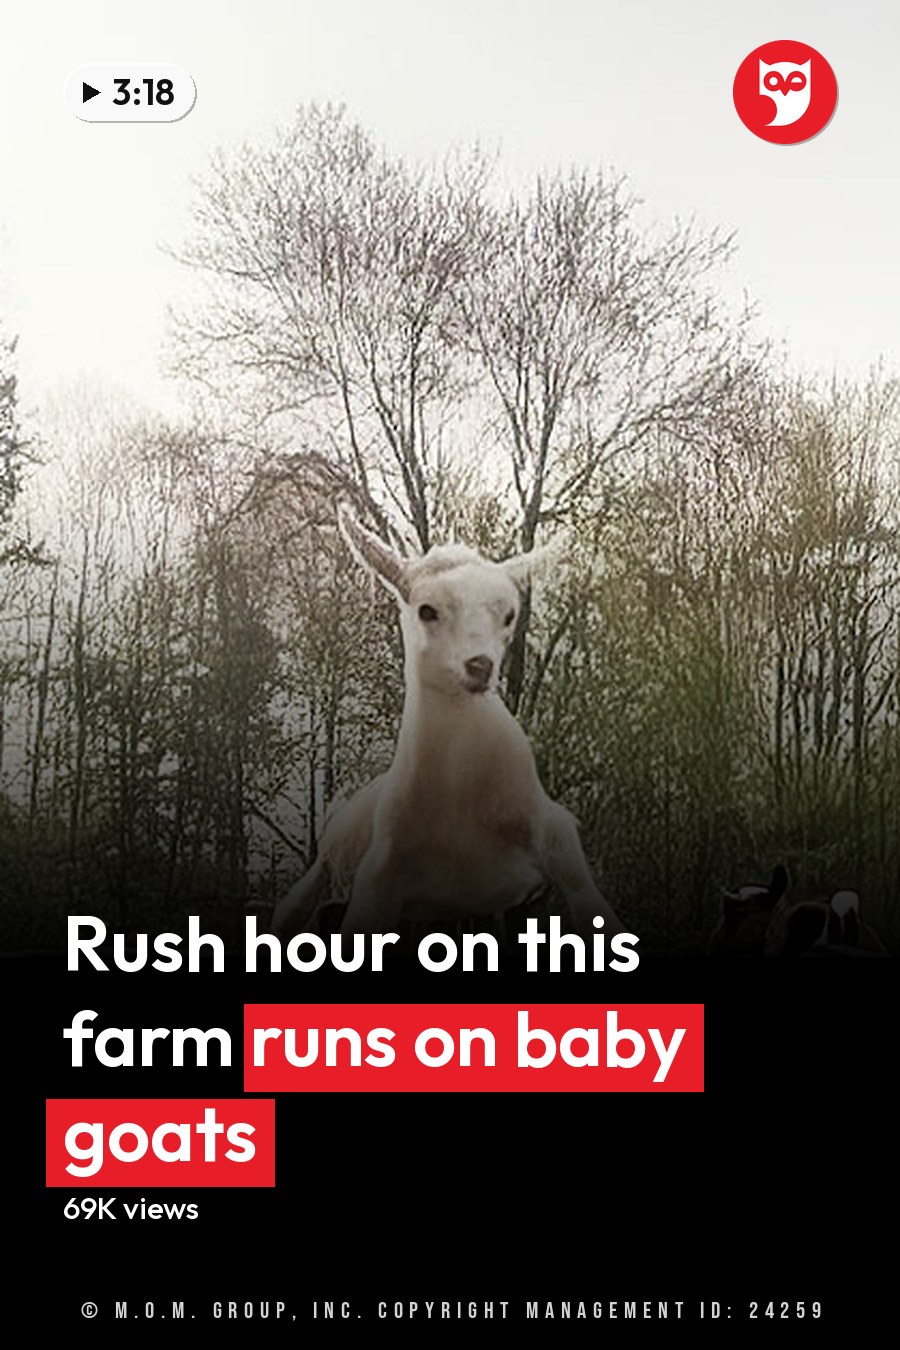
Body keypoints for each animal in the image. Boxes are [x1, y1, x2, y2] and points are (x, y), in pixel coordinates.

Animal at [271, 507, 626, 940]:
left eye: (509, 614)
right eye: (427, 610)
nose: (479, 666)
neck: (462, 808)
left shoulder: (560, 849)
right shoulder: (376, 883)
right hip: (325, 869)